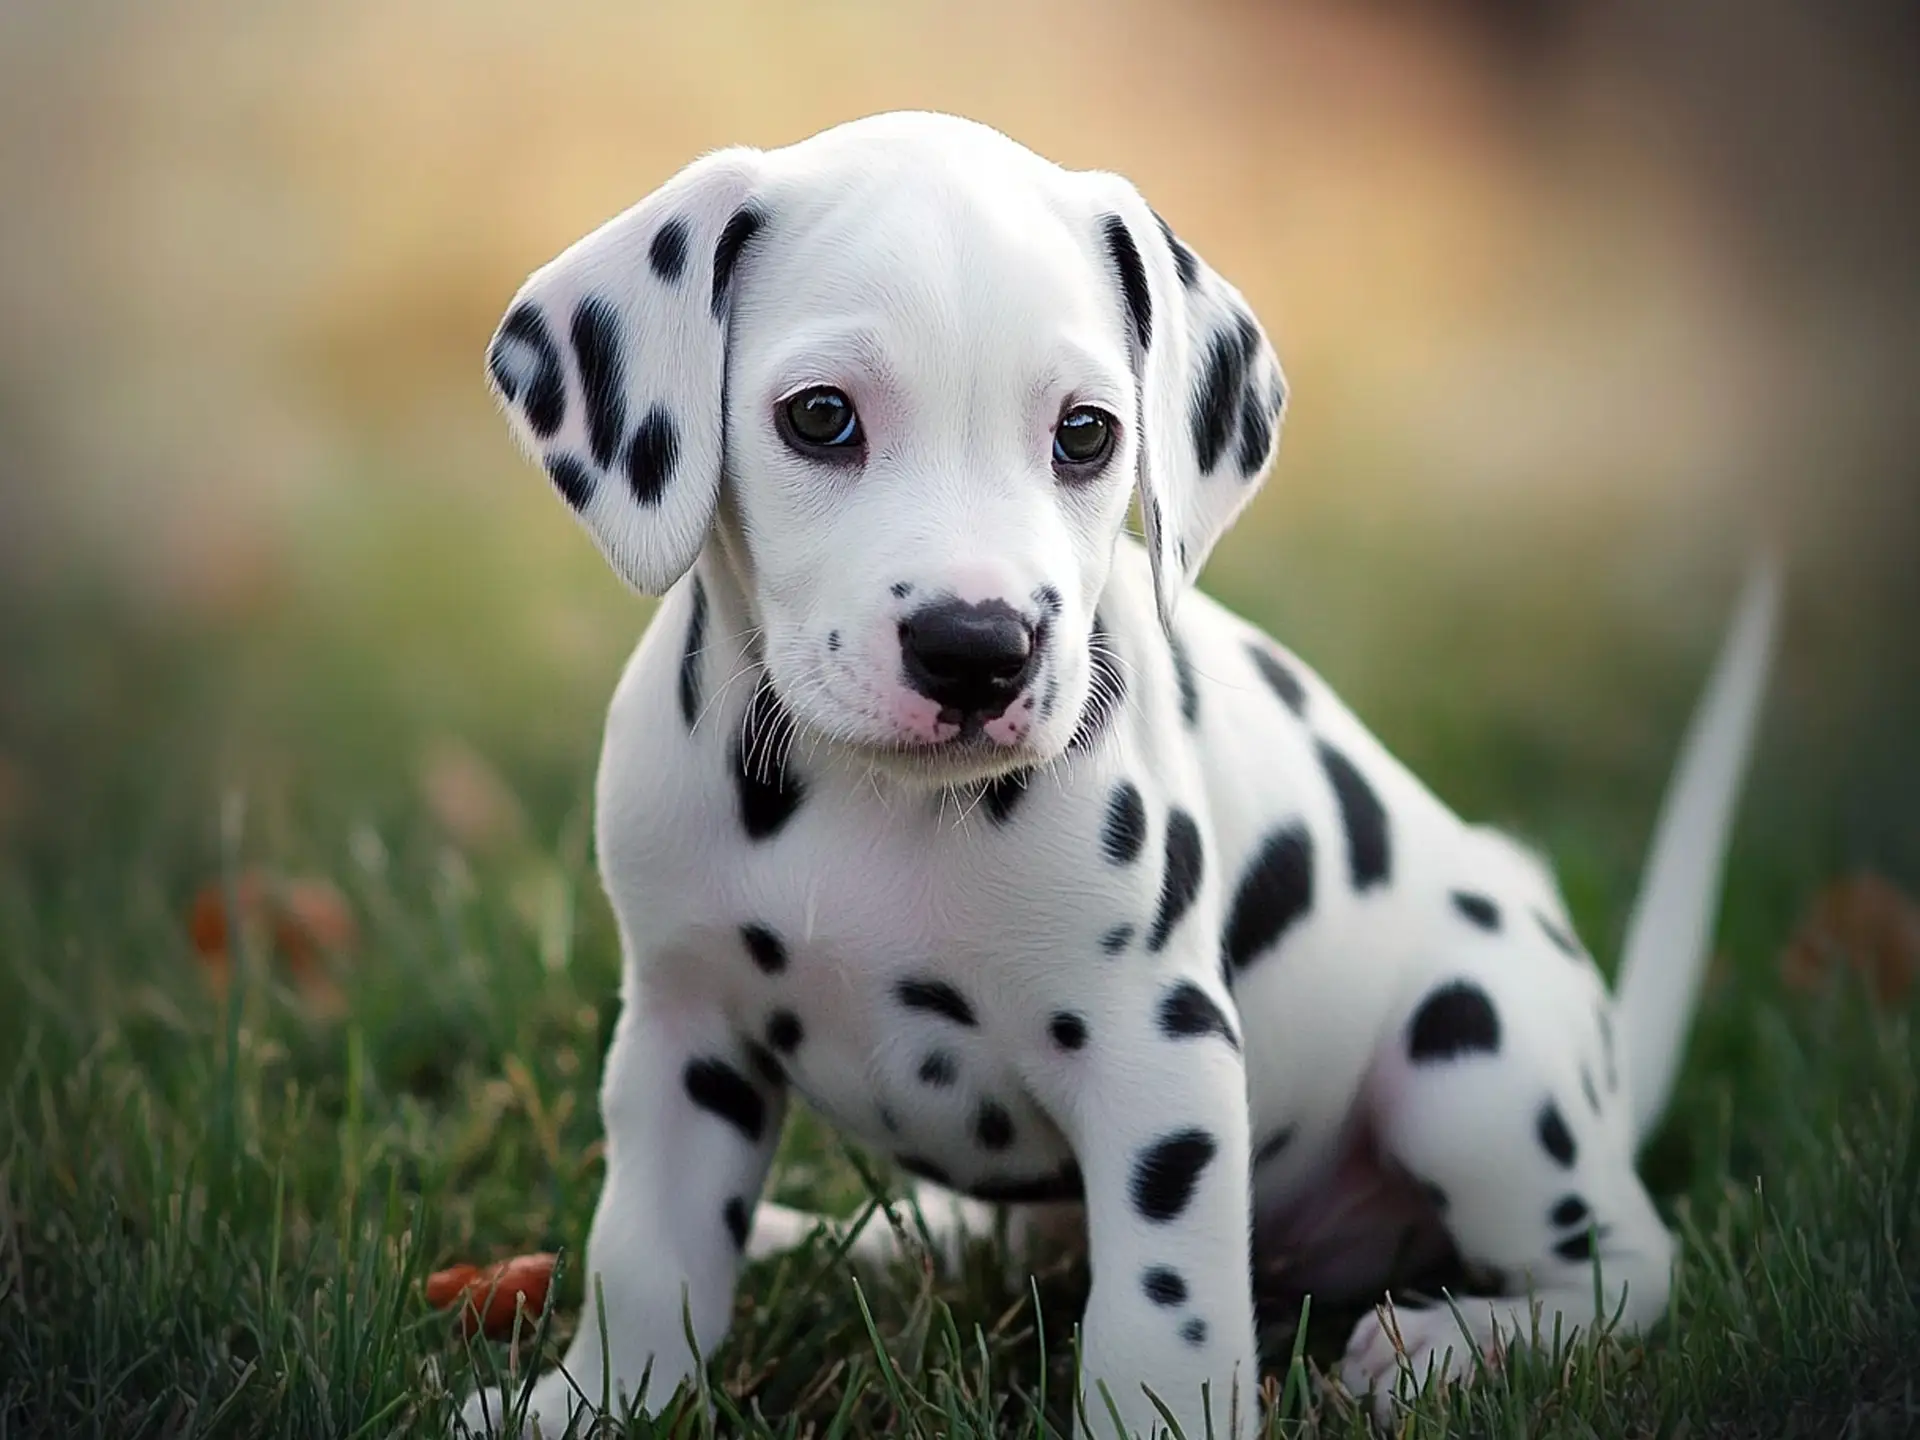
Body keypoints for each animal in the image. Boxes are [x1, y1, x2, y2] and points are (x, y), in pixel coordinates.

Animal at [460, 115, 1766, 1440]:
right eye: (821, 417)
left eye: (1084, 432)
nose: (977, 648)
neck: (863, 806)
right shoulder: (684, 1031)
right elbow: (648, 1257)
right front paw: (591, 1402)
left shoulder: (1160, 1052)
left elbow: (1161, 1315)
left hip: (1473, 1055)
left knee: (1627, 1265)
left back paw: (1456, 1343)